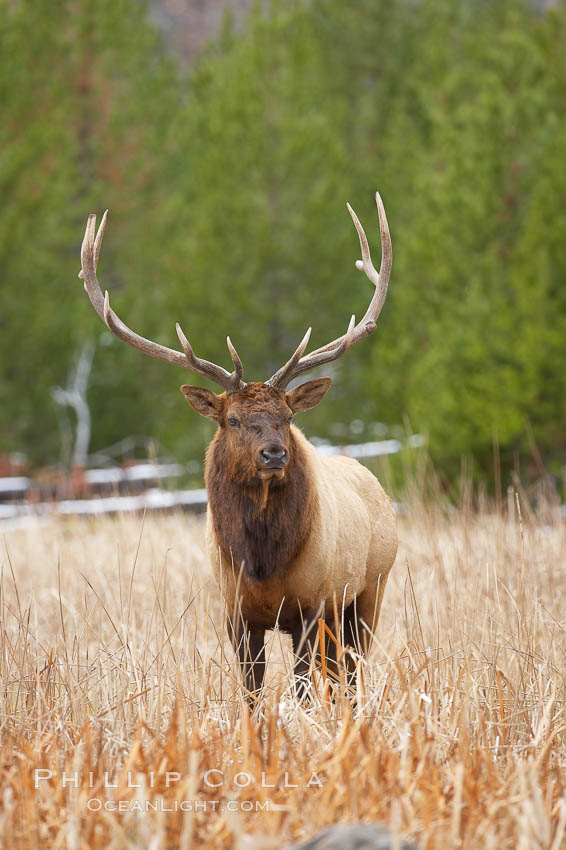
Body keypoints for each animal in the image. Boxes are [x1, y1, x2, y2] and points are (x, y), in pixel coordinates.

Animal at [80, 192, 400, 696]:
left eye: (288, 417)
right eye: (232, 419)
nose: (274, 453)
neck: (262, 564)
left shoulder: (309, 607)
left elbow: (303, 691)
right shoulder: (236, 614)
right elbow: (251, 692)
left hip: (369, 591)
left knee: (350, 674)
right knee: (339, 676)